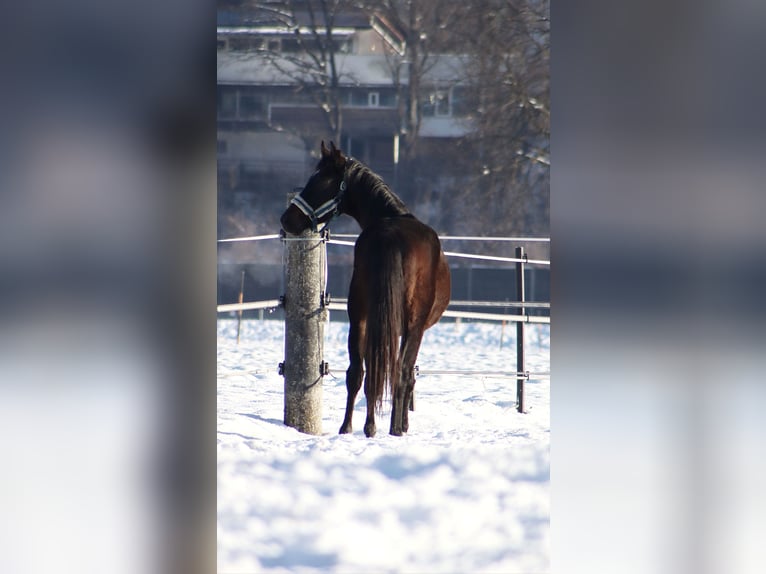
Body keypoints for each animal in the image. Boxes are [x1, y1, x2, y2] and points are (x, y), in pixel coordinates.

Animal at [280, 143, 450, 436]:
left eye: (319, 183)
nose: (287, 219)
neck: (390, 214)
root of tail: (390, 235)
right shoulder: (412, 329)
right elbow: (406, 374)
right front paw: (401, 424)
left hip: (360, 317)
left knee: (360, 372)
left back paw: (354, 427)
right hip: (409, 325)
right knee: (398, 372)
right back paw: (391, 429)